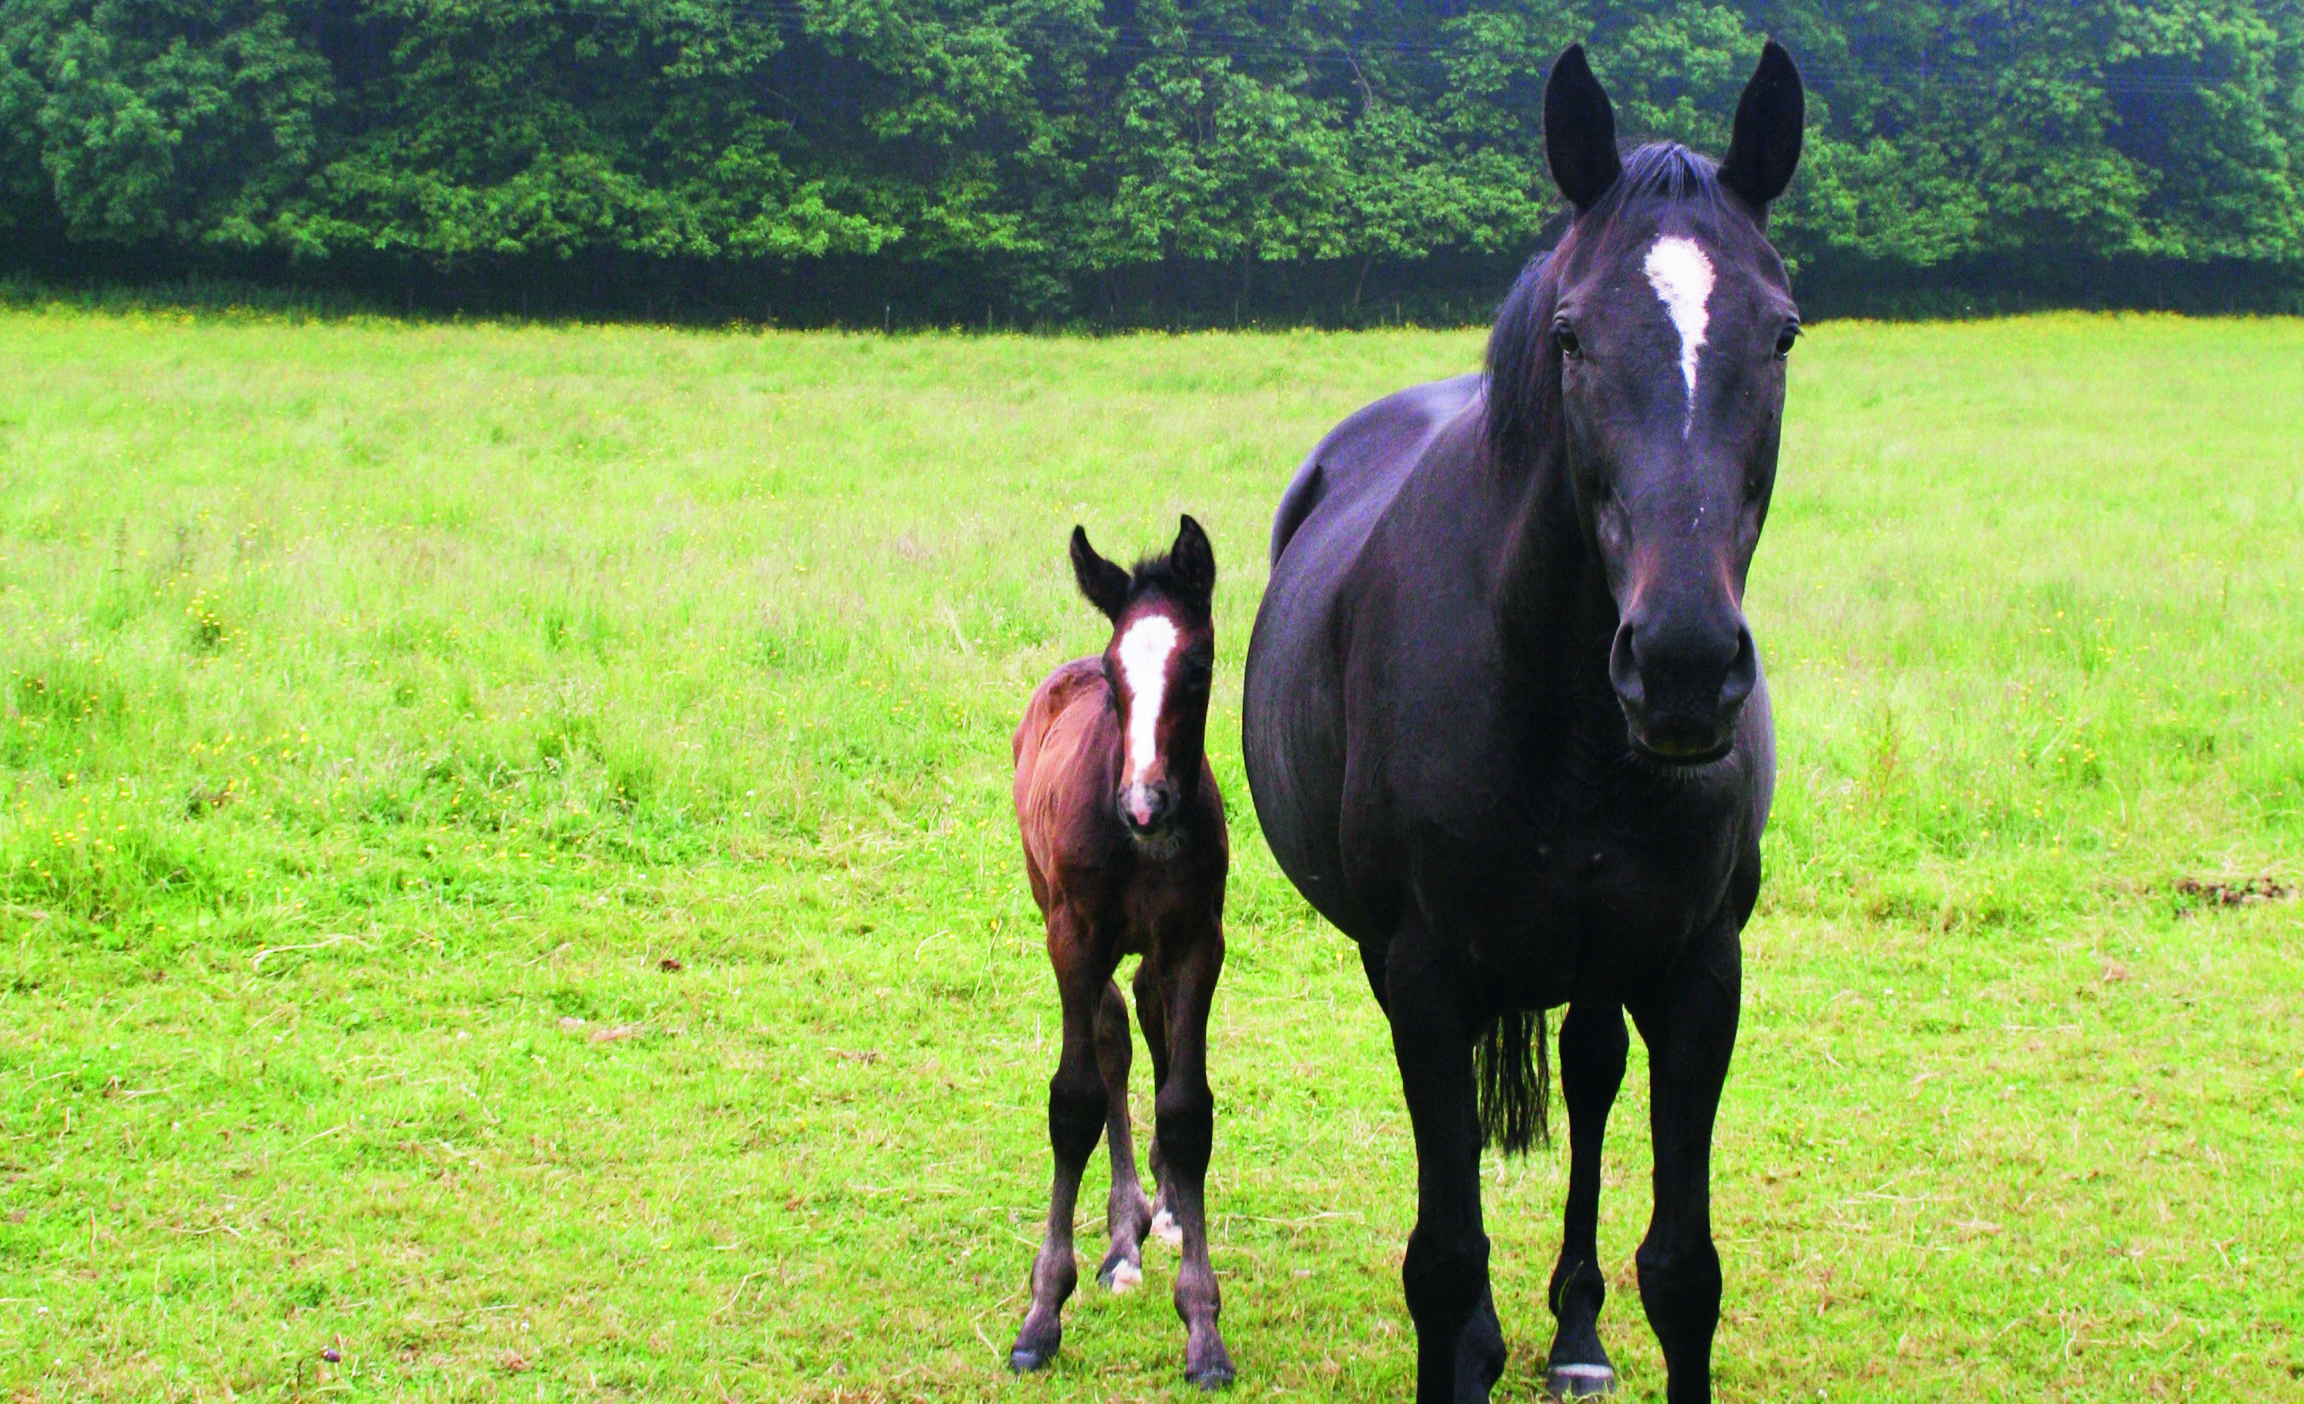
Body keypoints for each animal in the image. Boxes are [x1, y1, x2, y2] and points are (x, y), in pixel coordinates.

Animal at [1006, 515, 1235, 1389]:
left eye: (1197, 665)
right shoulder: (1074, 937)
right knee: (1110, 1032)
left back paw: (1156, 1213)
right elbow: (1073, 1101)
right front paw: (1043, 1313)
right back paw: (1121, 1237)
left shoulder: (1198, 938)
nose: (1144, 805)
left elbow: (1186, 1107)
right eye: (1114, 672)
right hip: (1064, 920)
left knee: (1148, 1018)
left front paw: (1202, 1328)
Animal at [1241, 43, 1806, 1403]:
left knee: (1594, 1080)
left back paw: (1578, 1331)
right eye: (1570, 336)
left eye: (1781, 331)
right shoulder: (1427, 975)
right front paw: (1466, 1342)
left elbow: (1685, 1270)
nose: (1683, 665)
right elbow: (1443, 1256)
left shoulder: (1700, 971)